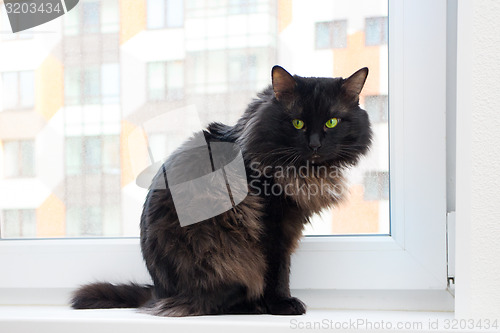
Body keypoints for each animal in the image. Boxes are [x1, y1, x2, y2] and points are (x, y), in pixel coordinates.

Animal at [73, 66, 372, 316]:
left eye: (332, 122)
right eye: (297, 122)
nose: (314, 145)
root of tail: (158, 292)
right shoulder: (272, 225)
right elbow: (278, 270)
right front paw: (282, 304)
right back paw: (254, 306)